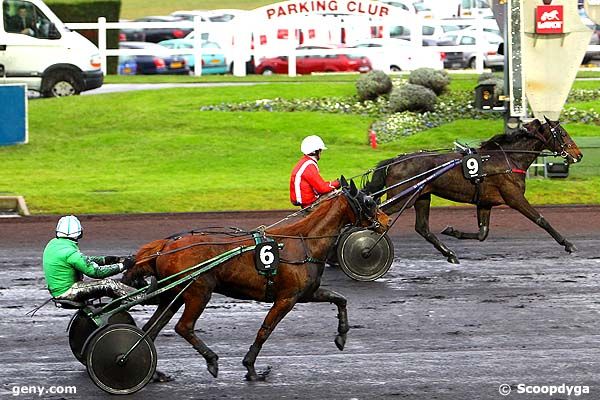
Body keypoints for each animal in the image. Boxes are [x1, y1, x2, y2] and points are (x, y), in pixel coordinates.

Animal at [124, 180, 392, 382]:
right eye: (369, 201)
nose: (387, 221)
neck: (303, 242)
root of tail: (165, 245)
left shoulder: (306, 293)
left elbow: (340, 299)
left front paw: (342, 337)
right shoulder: (286, 298)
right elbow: (265, 330)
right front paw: (251, 368)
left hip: (174, 295)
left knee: (152, 328)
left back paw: (154, 372)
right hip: (198, 292)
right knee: (183, 327)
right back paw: (211, 360)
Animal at [364, 117, 584, 264]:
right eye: (563, 133)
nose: (579, 154)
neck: (508, 158)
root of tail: (394, 161)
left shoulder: (485, 202)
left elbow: (482, 233)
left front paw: (452, 231)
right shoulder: (514, 197)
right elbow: (541, 220)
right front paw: (568, 244)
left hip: (422, 196)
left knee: (422, 228)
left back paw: (450, 254)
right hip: (403, 198)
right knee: (375, 212)